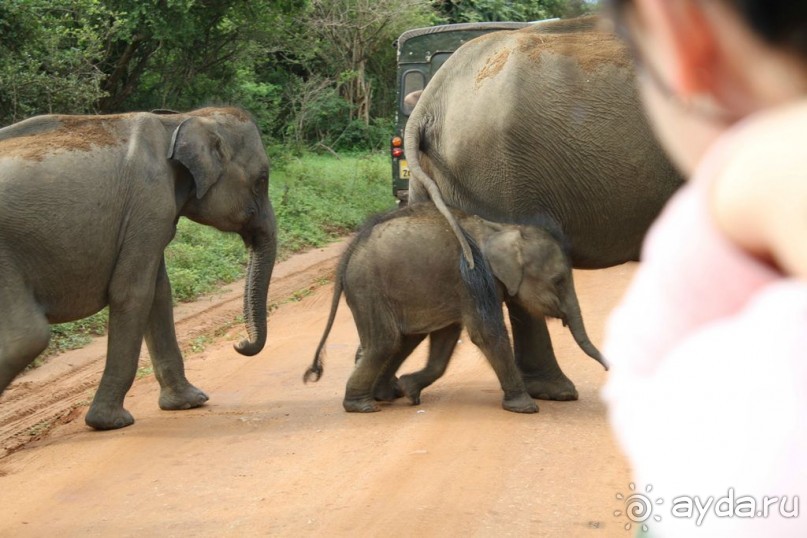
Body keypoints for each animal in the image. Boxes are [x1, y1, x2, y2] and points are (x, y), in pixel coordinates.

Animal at [0, 107, 278, 430]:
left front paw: (189, 402)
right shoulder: (150, 204)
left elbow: (159, 293)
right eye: (261, 180)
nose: (240, 343)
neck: (181, 119)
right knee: (27, 336)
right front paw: (109, 422)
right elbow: (134, 293)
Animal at [304, 203, 608, 412]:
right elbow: (485, 334)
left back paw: (387, 394)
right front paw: (526, 408)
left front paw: (410, 388)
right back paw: (362, 406)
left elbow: (447, 337)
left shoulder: (460, 288)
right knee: (385, 342)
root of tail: (349, 252)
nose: (608, 369)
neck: (502, 228)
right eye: (558, 281)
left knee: (401, 340)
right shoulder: (474, 279)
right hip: (368, 288)